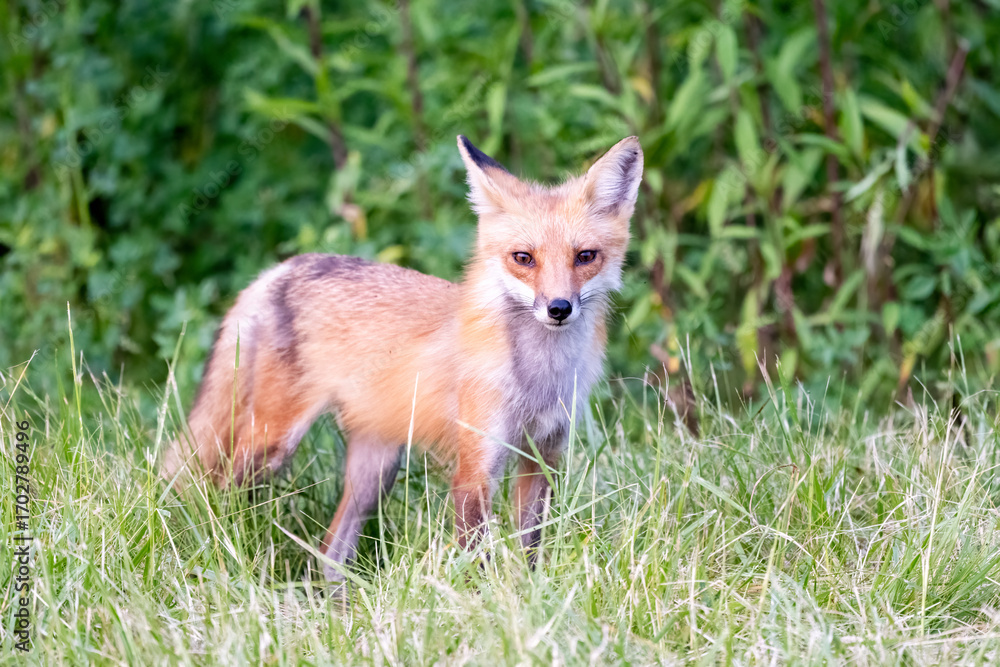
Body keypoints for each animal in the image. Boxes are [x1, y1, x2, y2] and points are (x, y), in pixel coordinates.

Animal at [161, 135, 643, 581]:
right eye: (523, 258)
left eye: (585, 257)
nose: (558, 308)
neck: (539, 379)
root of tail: (280, 268)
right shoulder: (474, 470)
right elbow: (480, 565)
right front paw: (494, 607)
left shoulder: (542, 459)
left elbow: (530, 551)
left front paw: (530, 596)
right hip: (271, 445)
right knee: (213, 494)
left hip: (375, 470)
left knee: (329, 554)